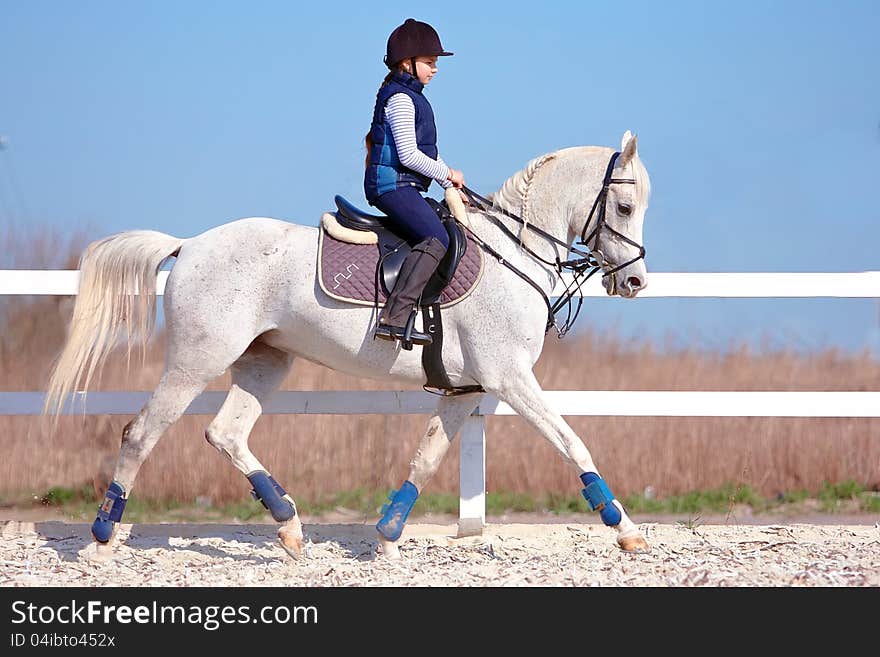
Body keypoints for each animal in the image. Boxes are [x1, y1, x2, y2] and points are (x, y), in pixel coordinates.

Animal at [44, 129, 656, 560]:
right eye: (625, 208)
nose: (634, 282)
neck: (514, 253)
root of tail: (189, 244)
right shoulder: (510, 379)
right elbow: (573, 443)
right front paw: (624, 529)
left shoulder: (466, 390)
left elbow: (427, 457)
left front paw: (387, 534)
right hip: (198, 359)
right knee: (142, 432)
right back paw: (101, 537)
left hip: (265, 362)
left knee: (225, 433)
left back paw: (291, 528)